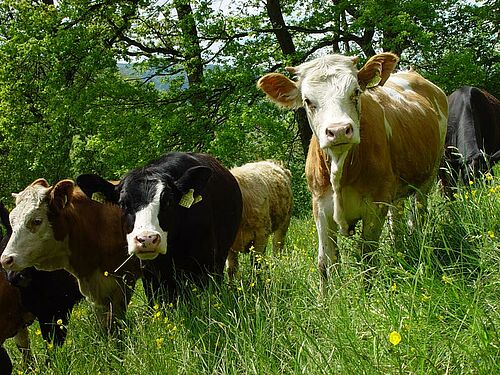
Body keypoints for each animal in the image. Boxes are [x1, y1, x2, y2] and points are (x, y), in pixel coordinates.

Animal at [260, 53, 448, 292]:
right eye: (307, 101)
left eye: (356, 91)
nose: (339, 130)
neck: (341, 169)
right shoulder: (319, 206)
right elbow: (325, 260)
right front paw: (327, 298)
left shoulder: (376, 204)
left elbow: (366, 256)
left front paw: (366, 295)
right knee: (396, 221)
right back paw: (399, 250)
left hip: (427, 178)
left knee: (417, 217)